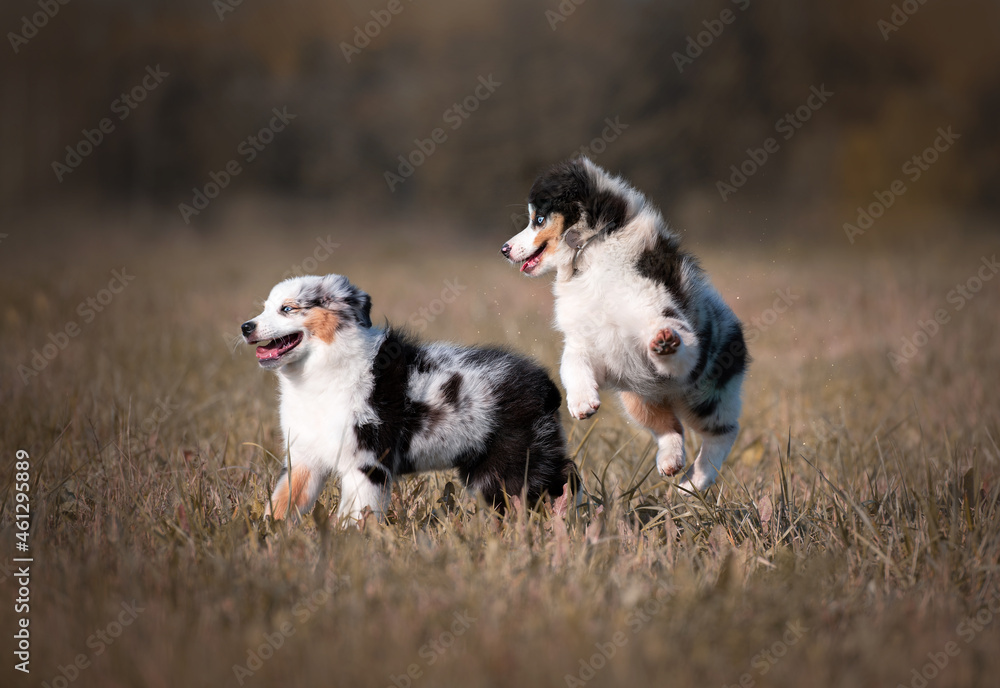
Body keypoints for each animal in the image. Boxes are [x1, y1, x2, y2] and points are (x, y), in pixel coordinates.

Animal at [238, 274, 576, 520]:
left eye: (287, 309)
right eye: (265, 307)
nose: (245, 326)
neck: (319, 372)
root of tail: (546, 384)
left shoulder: (368, 461)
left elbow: (357, 514)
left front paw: (350, 544)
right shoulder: (303, 459)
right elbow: (280, 505)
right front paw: (266, 539)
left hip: (515, 465)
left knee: (562, 484)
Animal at [504, 159, 748, 492]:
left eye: (538, 220)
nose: (504, 249)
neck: (591, 252)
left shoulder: (656, 307)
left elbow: (674, 333)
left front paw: (665, 342)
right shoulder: (588, 340)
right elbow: (571, 364)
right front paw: (582, 403)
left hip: (709, 393)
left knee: (723, 433)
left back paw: (694, 481)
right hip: (638, 396)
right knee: (669, 426)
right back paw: (671, 462)